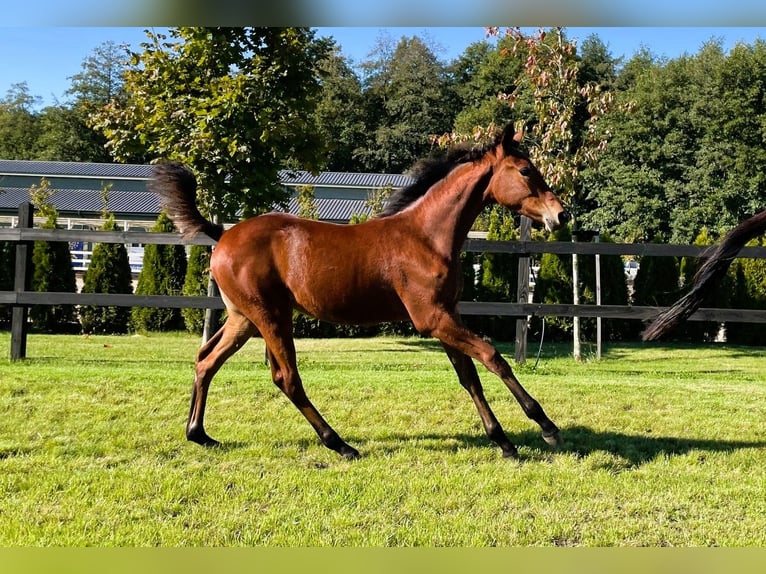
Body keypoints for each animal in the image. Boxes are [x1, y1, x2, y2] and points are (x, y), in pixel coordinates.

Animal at [151, 123, 570, 460]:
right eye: (526, 170)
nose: (560, 214)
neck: (425, 236)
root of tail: (222, 236)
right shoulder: (432, 319)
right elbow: (492, 356)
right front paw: (546, 427)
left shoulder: (448, 315)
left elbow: (469, 375)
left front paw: (503, 441)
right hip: (270, 317)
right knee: (286, 378)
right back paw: (340, 444)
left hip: (244, 319)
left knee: (206, 360)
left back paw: (200, 435)